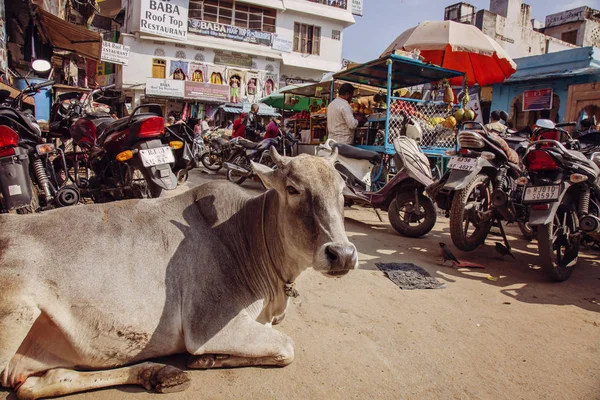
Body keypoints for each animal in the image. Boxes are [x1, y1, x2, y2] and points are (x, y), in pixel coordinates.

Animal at [0, 148, 356, 398]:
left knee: (35, 384)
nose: (342, 254)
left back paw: (157, 373)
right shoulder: (210, 324)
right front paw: (209, 359)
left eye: (342, 189)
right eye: (293, 189)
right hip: (17, 313)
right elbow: (287, 348)